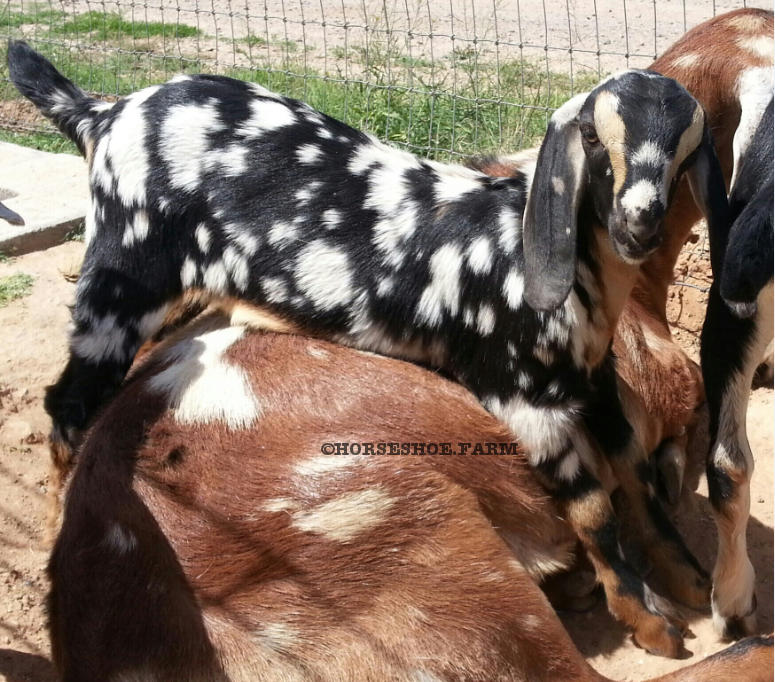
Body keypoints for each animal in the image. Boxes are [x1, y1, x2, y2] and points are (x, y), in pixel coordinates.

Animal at [9, 41, 732, 652]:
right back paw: (54, 538)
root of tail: (104, 111)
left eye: (687, 146)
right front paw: (650, 624)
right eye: (591, 136)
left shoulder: (594, 376)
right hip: (122, 274)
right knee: (67, 403)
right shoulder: (523, 395)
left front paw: (690, 579)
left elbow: (634, 471)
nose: (638, 223)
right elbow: (592, 510)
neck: (524, 252)